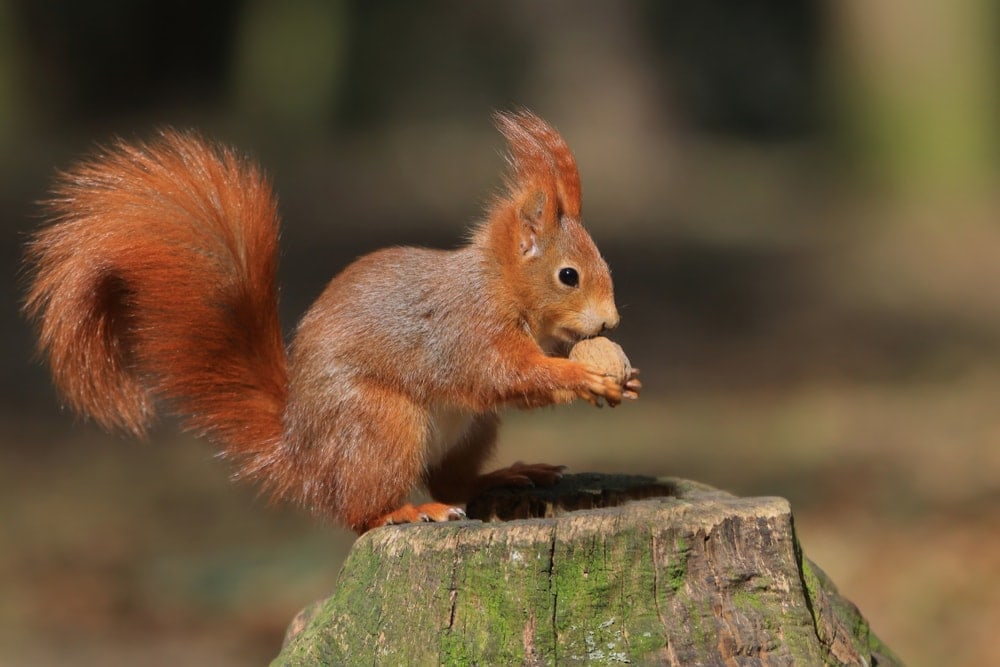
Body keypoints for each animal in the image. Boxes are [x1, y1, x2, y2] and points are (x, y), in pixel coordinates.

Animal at [22, 111, 641, 533]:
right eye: (568, 276)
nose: (611, 322)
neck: (498, 286)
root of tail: (305, 455)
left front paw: (622, 378)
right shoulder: (463, 331)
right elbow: (502, 373)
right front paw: (581, 376)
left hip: (470, 429)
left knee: (452, 478)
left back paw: (501, 476)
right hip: (382, 424)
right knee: (360, 513)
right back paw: (405, 511)